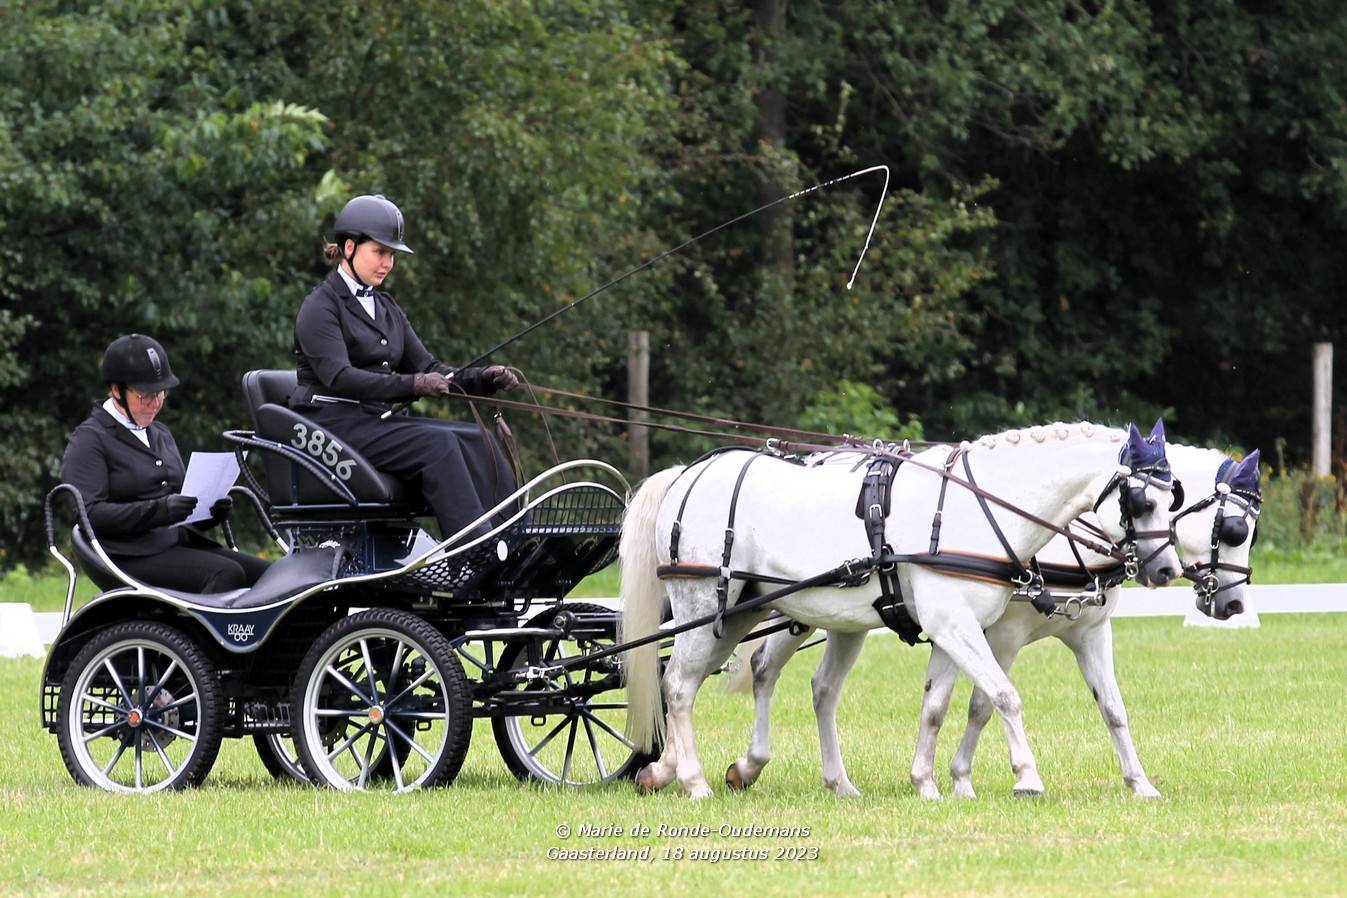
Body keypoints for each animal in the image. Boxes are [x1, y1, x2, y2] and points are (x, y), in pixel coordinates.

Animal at [620, 421, 1182, 799]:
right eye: (1141, 501)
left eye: (1173, 496)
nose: (1165, 570)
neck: (977, 508)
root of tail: (686, 474)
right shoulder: (963, 627)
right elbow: (1004, 695)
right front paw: (1026, 777)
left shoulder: (958, 629)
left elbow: (938, 705)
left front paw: (928, 783)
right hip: (707, 609)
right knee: (679, 687)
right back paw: (693, 781)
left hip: (755, 614)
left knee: (788, 685)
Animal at [729, 442, 1261, 799]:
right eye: (1234, 529)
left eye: (1251, 531)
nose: (1234, 604)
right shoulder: (1003, 634)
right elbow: (986, 703)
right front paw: (985, 778)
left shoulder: (1089, 633)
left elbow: (1112, 708)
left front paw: (1140, 782)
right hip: (795, 607)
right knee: (763, 669)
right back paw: (749, 765)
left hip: (844, 620)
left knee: (822, 688)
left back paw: (833, 780)